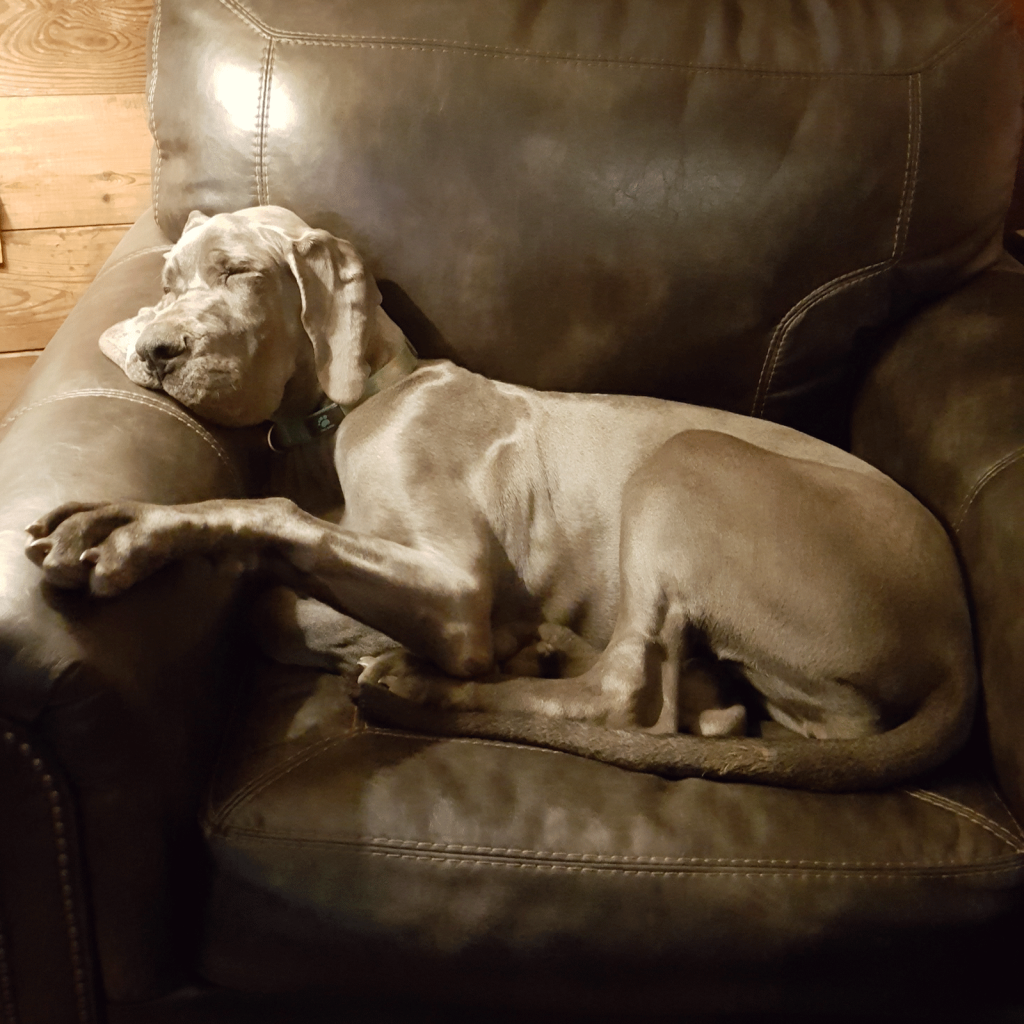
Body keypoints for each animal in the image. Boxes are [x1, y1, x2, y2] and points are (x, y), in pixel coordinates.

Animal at [22, 203, 974, 786]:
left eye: (239, 272)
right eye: (170, 281)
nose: (157, 353)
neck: (349, 412)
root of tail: (954, 639)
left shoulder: (454, 585)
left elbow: (270, 527)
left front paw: (130, 527)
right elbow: (274, 596)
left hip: (691, 460)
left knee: (629, 697)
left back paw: (429, 685)